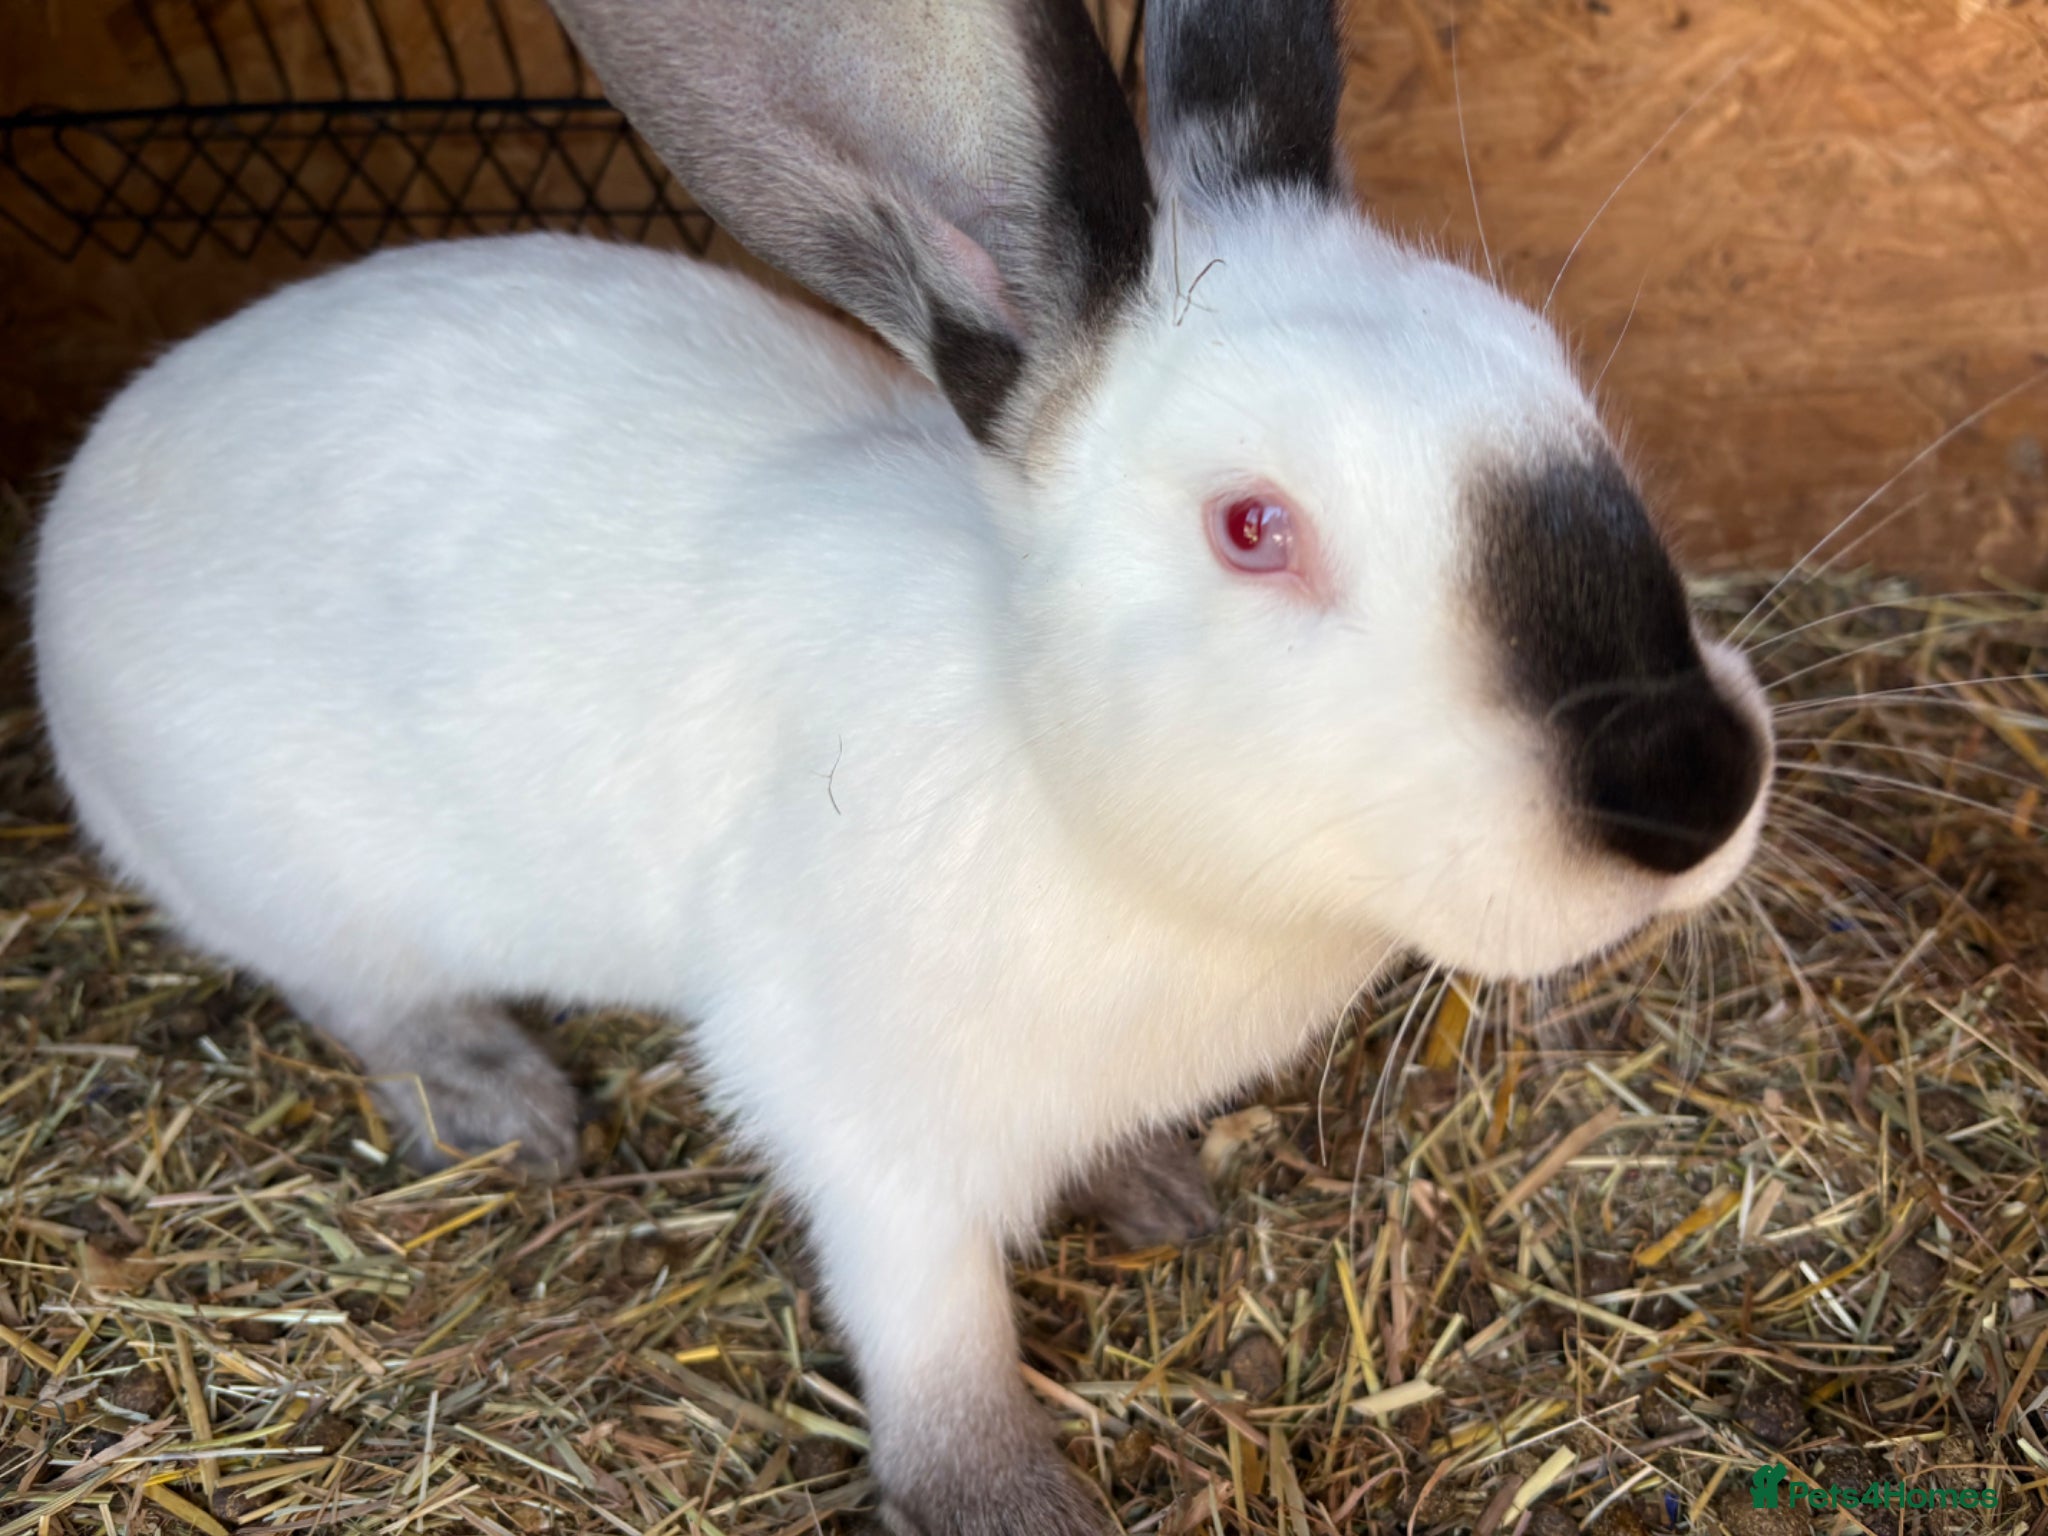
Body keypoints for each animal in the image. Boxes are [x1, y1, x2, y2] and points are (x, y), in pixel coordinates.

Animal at [31, 0, 1773, 1530]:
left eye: (1556, 372)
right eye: (1251, 527)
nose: (1696, 782)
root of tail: (80, 504)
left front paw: (1161, 1198)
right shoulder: (867, 1135)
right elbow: (936, 1344)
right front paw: (1012, 1505)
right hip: (298, 879)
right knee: (351, 992)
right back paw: (500, 1104)